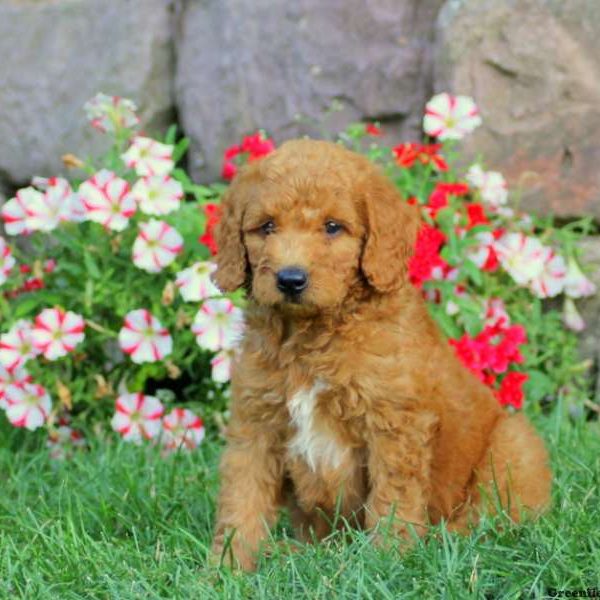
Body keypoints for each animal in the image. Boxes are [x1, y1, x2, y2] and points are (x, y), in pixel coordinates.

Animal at [211, 138, 552, 568]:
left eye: (333, 227)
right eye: (267, 227)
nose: (290, 279)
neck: (313, 335)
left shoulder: (395, 425)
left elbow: (393, 498)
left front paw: (387, 559)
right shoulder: (256, 424)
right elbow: (243, 497)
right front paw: (227, 567)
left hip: (513, 443)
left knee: (494, 522)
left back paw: (445, 541)